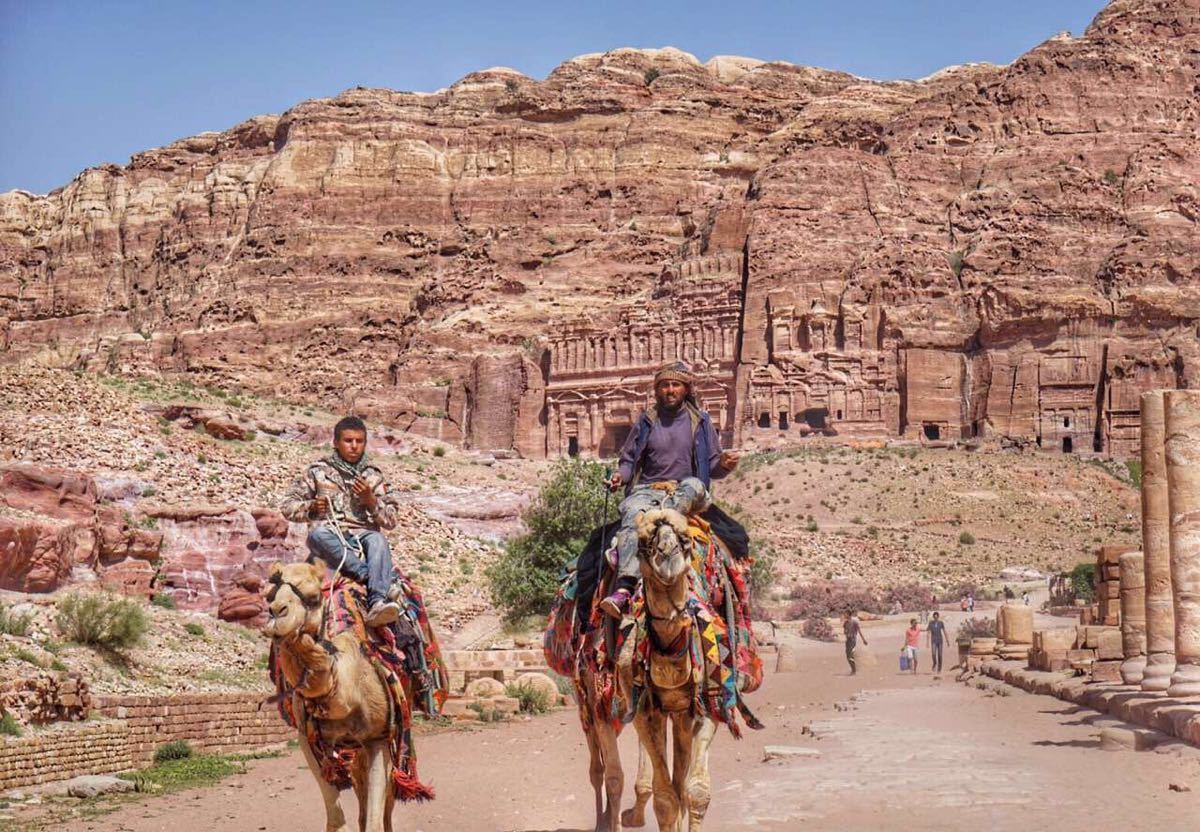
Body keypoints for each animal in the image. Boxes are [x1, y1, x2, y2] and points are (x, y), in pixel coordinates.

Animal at [262, 557, 398, 830]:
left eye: (314, 597)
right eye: (269, 596)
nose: (277, 612)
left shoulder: (379, 737)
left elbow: (375, 819)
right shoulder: (307, 738)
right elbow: (335, 817)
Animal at [633, 506, 715, 830]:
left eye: (685, 540)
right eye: (643, 542)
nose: (668, 555)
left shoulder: (707, 706)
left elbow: (696, 792)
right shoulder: (644, 712)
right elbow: (665, 799)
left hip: (682, 715)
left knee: (681, 782)